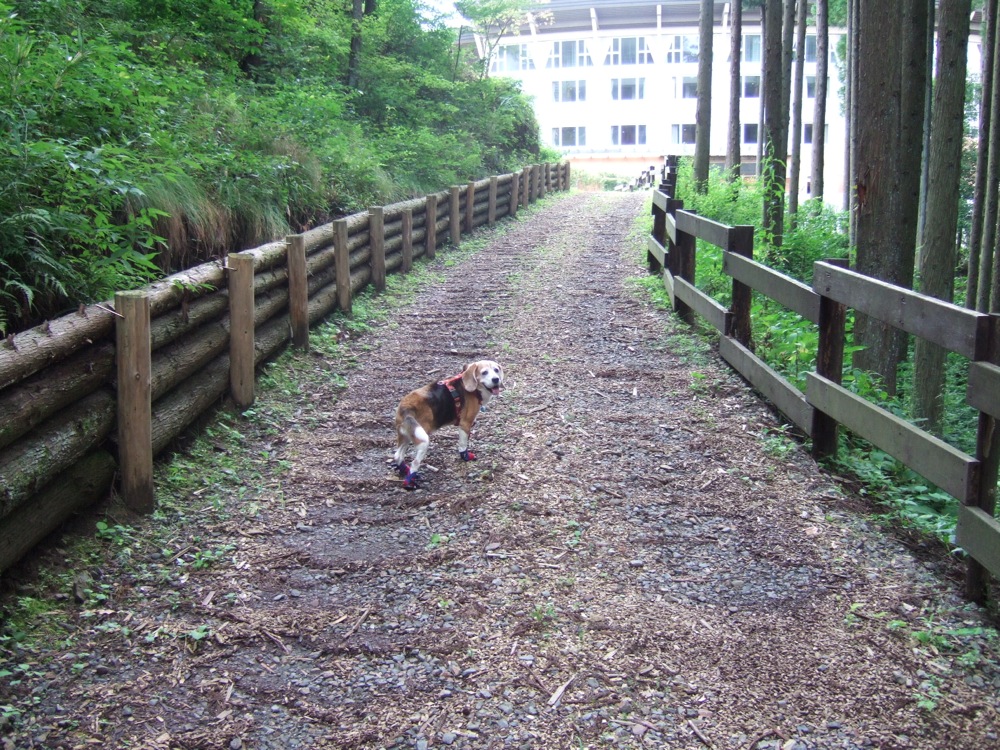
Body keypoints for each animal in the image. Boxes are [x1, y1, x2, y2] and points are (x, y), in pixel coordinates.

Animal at [392, 360, 504, 489]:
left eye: (496, 370)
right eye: (484, 372)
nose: (496, 379)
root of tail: (407, 405)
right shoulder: (465, 424)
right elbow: (463, 445)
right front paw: (465, 457)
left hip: (406, 435)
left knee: (398, 455)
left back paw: (404, 470)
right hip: (422, 437)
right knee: (415, 462)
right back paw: (410, 483)